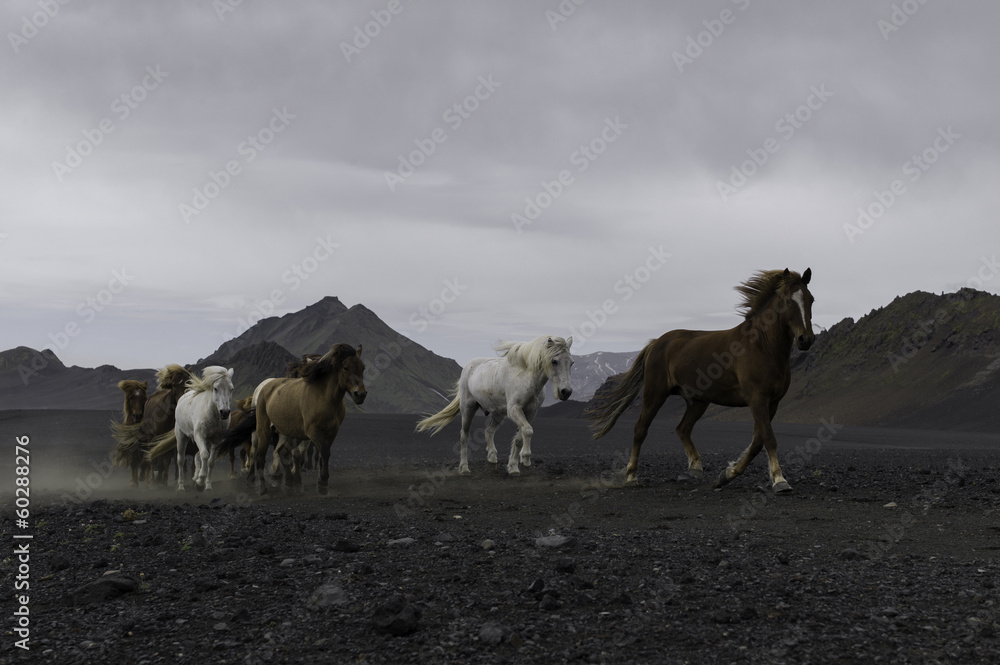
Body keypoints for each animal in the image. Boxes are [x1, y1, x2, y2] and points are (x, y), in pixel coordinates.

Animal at [222, 344, 366, 495]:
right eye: (346, 367)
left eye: (363, 367)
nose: (360, 394)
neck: (324, 398)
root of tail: (264, 387)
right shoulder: (311, 431)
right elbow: (313, 453)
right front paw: (319, 482)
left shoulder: (331, 432)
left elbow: (321, 454)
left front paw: (313, 481)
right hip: (262, 431)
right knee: (257, 454)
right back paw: (259, 485)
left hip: (283, 431)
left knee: (279, 452)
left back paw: (284, 479)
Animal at [416, 335, 574, 476]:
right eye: (554, 361)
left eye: (571, 363)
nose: (566, 392)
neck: (526, 377)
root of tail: (468, 366)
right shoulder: (514, 410)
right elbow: (528, 431)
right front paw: (523, 459)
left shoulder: (530, 412)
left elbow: (520, 436)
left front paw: (514, 465)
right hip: (468, 409)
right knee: (464, 436)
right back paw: (464, 468)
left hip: (498, 414)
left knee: (488, 431)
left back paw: (492, 457)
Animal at [585, 268, 815, 493]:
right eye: (788, 301)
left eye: (811, 299)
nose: (806, 339)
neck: (761, 346)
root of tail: (656, 342)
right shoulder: (757, 399)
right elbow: (768, 438)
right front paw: (780, 480)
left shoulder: (772, 402)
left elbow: (757, 442)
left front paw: (727, 474)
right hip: (655, 393)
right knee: (640, 429)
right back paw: (632, 476)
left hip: (698, 402)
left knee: (682, 428)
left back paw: (695, 468)